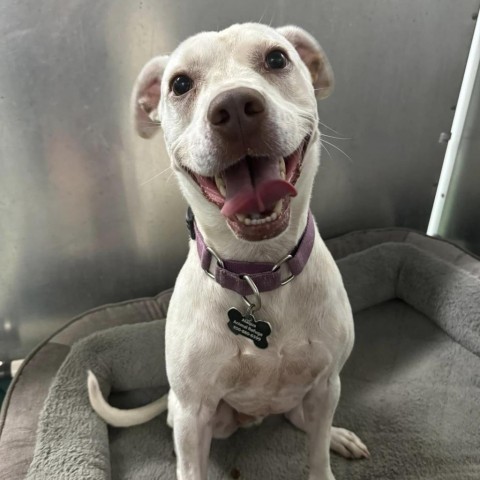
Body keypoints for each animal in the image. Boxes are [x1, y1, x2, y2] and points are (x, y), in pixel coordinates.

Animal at [88, 23, 370, 480]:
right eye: (179, 84)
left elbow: (315, 456)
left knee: (306, 421)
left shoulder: (327, 382)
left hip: (314, 393)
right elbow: (192, 465)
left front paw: (325, 452)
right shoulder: (194, 412)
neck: (259, 271)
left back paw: (335, 435)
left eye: (276, 58)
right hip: (199, 415)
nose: (235, 107)